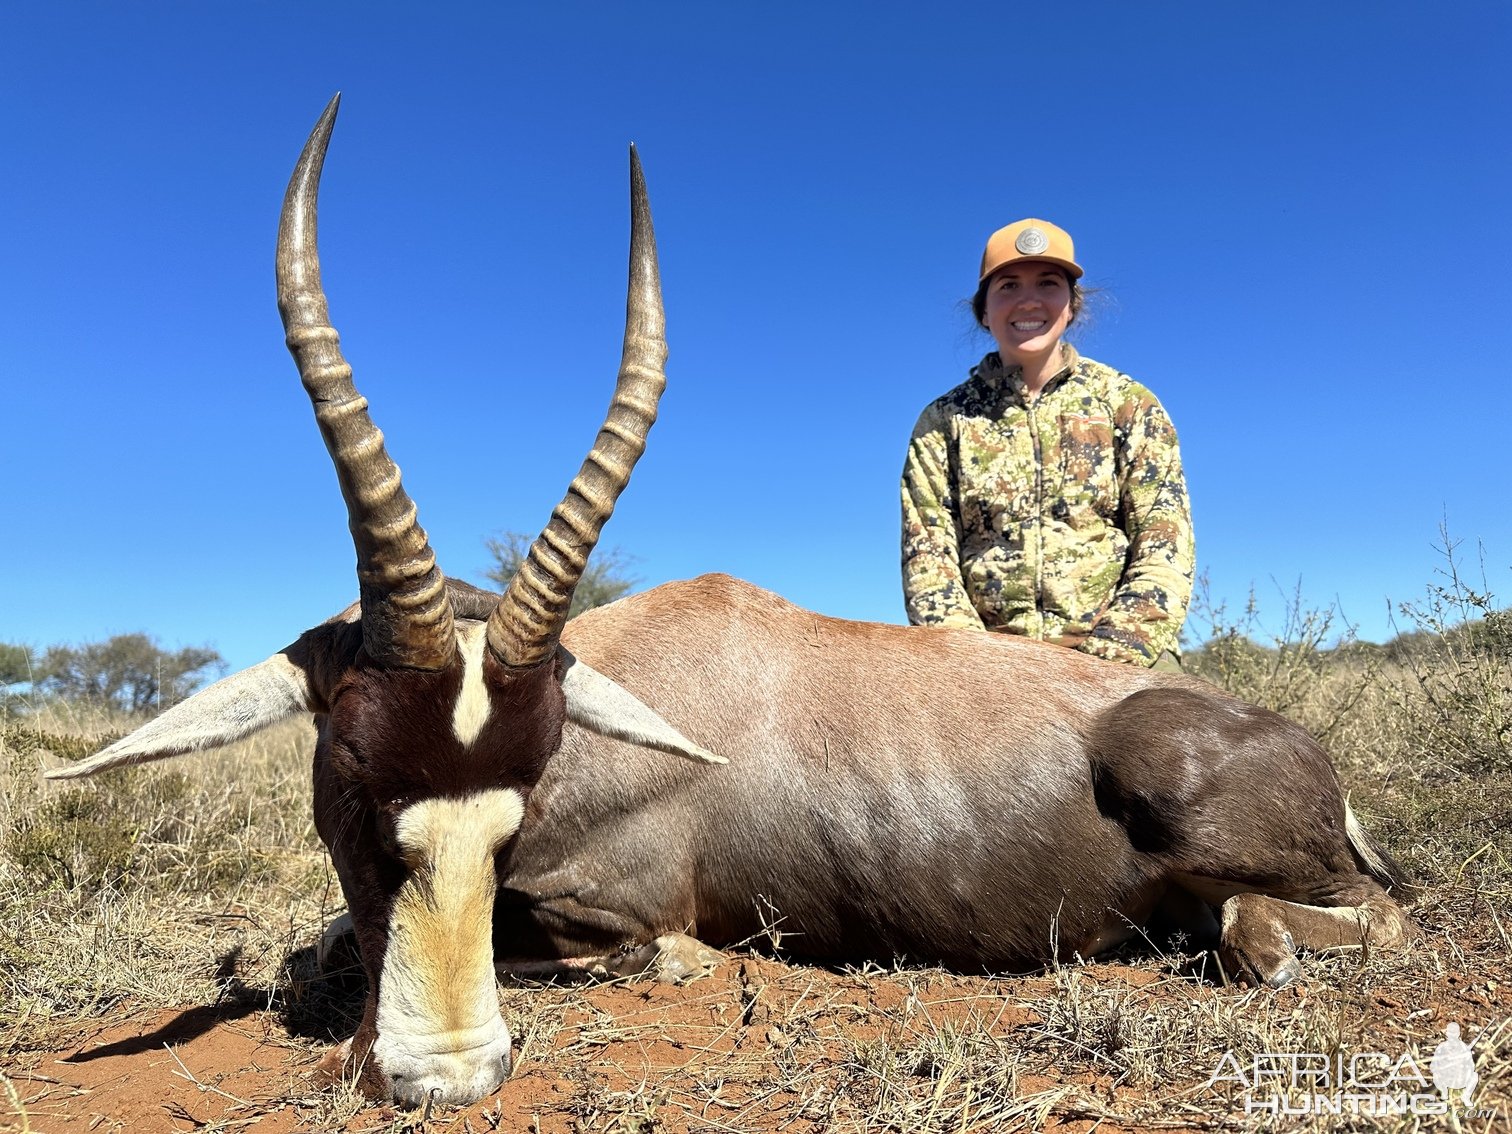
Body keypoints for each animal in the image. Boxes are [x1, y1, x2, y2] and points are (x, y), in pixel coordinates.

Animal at [50, 97, 1415, 1112]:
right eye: (349, 771)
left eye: (517, 798)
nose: (450, 1077)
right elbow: (318, 942)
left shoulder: (621, 915)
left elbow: (641, 951)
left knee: (1310, 928)